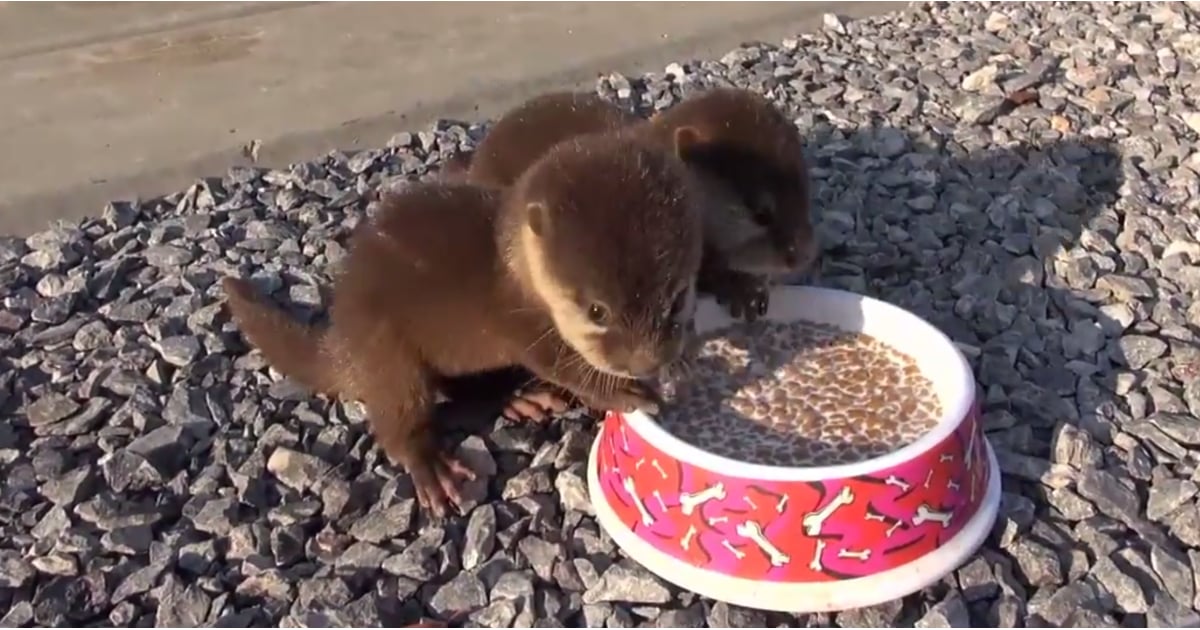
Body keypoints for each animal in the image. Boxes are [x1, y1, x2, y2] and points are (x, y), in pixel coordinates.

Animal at [222, 132, 704, 517]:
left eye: (679, 298)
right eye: (597, 311)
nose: (645, 362)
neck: (514, 271)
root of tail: (342, 333)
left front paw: (679, 365)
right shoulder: (521, 324)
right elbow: (563, 365)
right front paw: (623, 392)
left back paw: (517, 397)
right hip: (384, 348)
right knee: (399, 413)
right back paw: (430, 466)